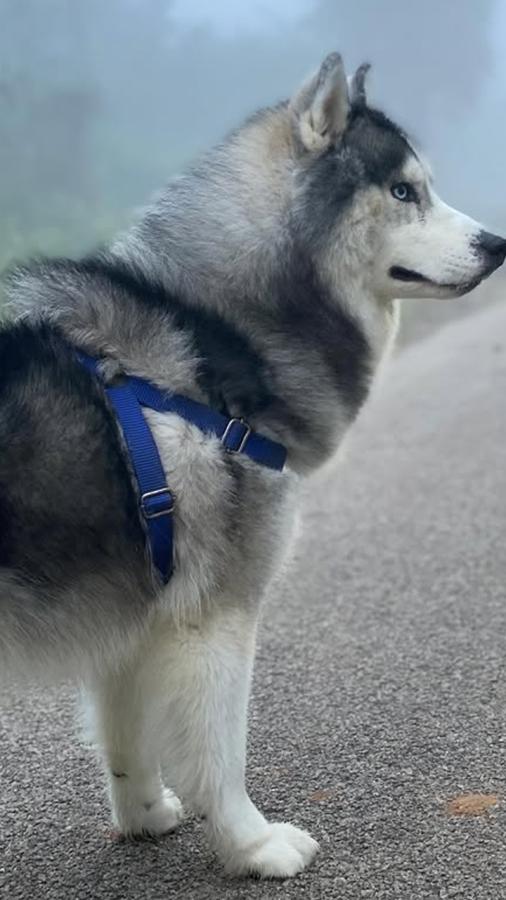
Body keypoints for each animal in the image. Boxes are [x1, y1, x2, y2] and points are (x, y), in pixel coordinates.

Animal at [0, 52, 506, 876]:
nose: (498, 244)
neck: (219, 341)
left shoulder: (136, 614)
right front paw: (252, 844)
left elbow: (125, 734)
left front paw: (143, 816)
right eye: (404, 191)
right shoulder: (217, 612)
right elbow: (220, 749)